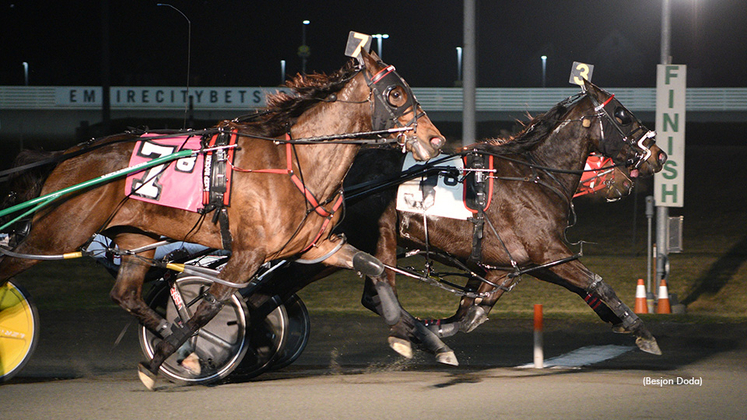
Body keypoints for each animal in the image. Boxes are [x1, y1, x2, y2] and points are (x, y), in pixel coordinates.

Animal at [0, 50, 444, 388]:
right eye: (395, 93)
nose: (436, 140)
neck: (295, 161)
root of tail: (69, 156)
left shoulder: (317, 245)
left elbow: (374, 266)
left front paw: (423, 339)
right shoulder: (247, 255)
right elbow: (210, 306)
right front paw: (164, 360)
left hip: (135, 240)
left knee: (125, 295)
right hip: (56, 234)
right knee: (11, 266)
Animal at [262, 79, 668, 364]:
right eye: (622, 115)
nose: (660, 156)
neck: (532, 175)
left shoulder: (505, 268)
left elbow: (472, 314)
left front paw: (437, 327)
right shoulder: (548, 253)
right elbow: (598, 283)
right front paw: (641, 331)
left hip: (329, 250)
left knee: (277, 288)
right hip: (379, 240)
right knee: (371, 294)